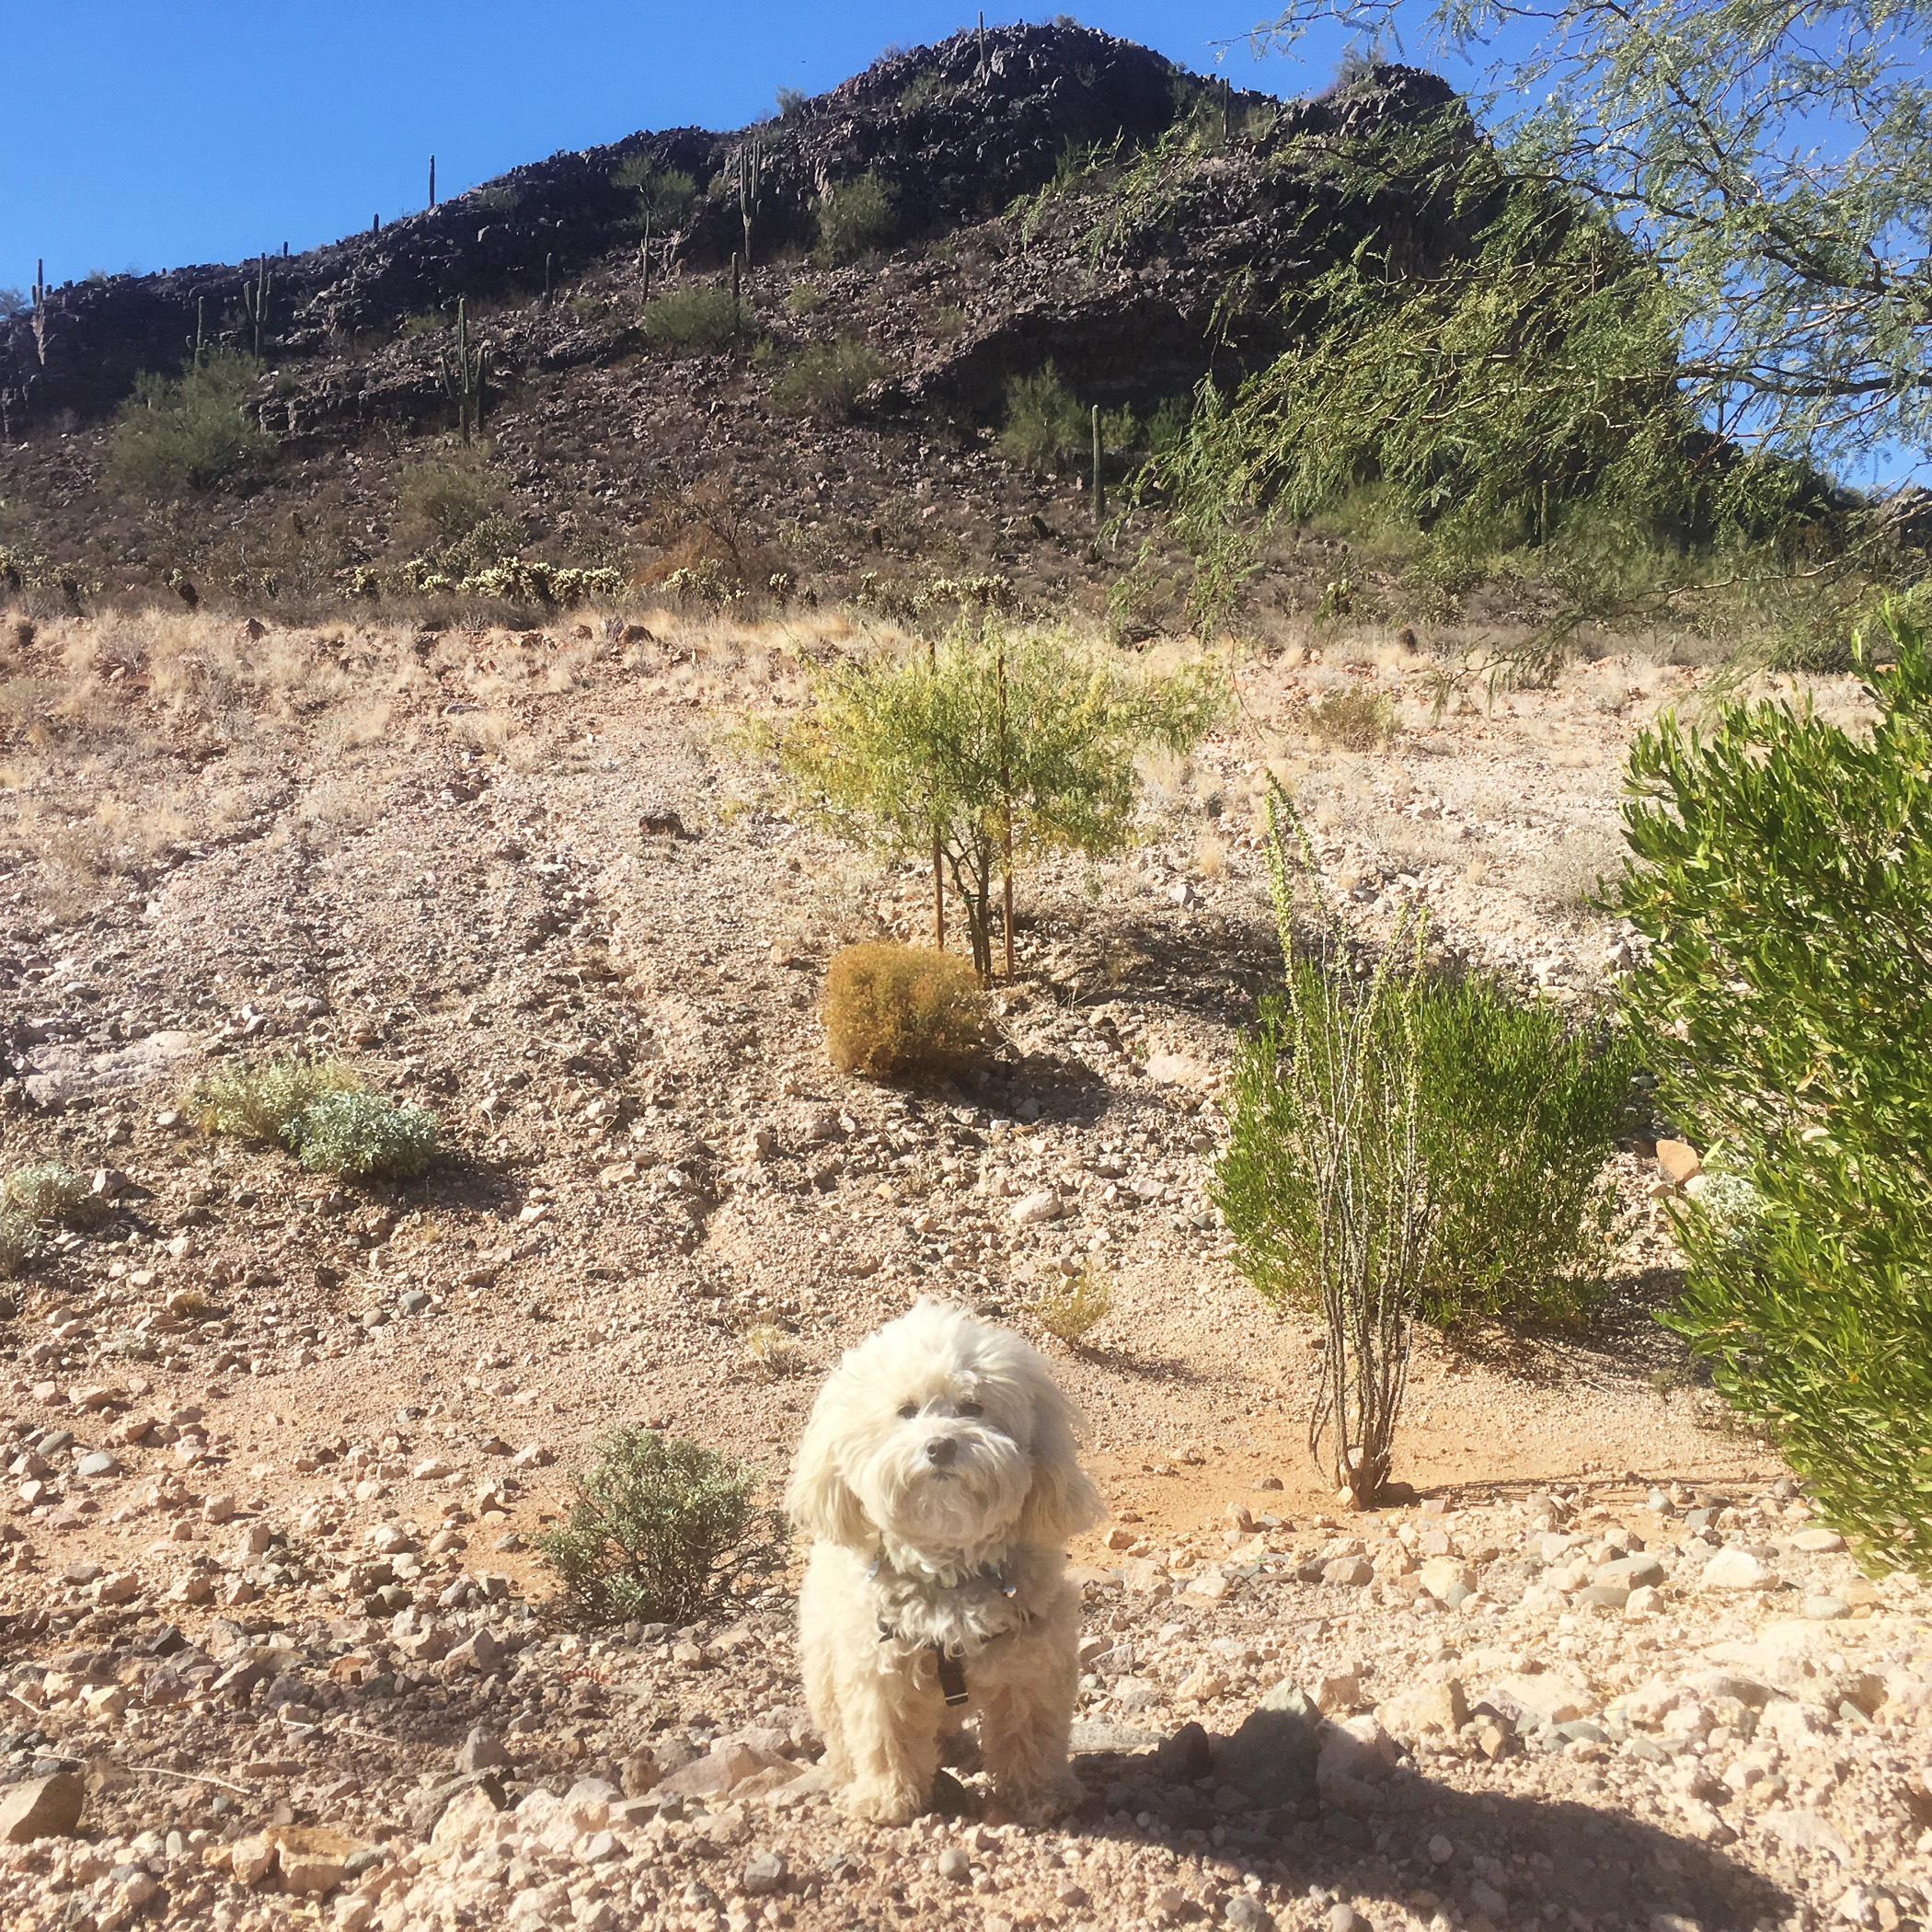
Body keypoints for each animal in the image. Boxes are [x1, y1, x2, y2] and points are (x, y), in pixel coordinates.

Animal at [784, 1298, 1105, 1823]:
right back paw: (846, 1776)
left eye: (972, 1407)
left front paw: (1039, 1796)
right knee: (839, 1729)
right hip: (825, 1660)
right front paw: (887, 1799)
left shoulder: (1033, 1668)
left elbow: (1032, 1736)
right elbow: (885, 1738)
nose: (939, 1446)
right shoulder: (877, 1672)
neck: (948, 1572)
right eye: (906, 1411)